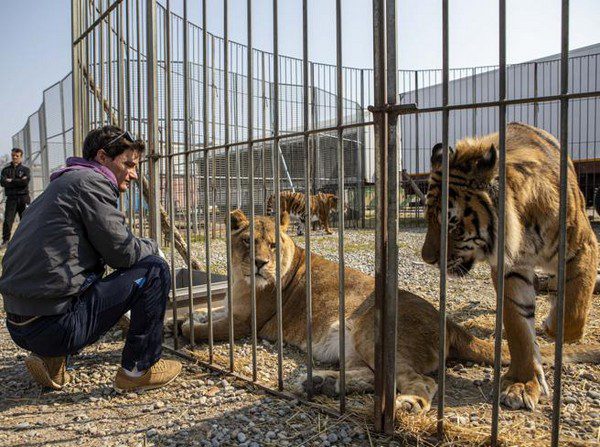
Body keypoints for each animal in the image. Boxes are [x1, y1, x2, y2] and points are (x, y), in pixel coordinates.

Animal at [183, 212, 600, 414]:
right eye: (247, 241)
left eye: (273, 244)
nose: (261, 263)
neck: (240, 280)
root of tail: (450, 322)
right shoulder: (230, 305)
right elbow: (209, 312)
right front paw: (190, 316)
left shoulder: (246, 320)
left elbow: (208, 329)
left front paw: (184, 327)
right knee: (373, 376)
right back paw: (320, 383)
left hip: (370, 326)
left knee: (420, 381)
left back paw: (406, 404)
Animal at [422, 122, 600, 412]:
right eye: (427, 218)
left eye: (453, 226)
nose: (427, 258)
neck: (524, 224)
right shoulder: (511, 268)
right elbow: (518, 327)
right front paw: (523, 383)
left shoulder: (583, 247)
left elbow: (574, 311)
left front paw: (551, 326)